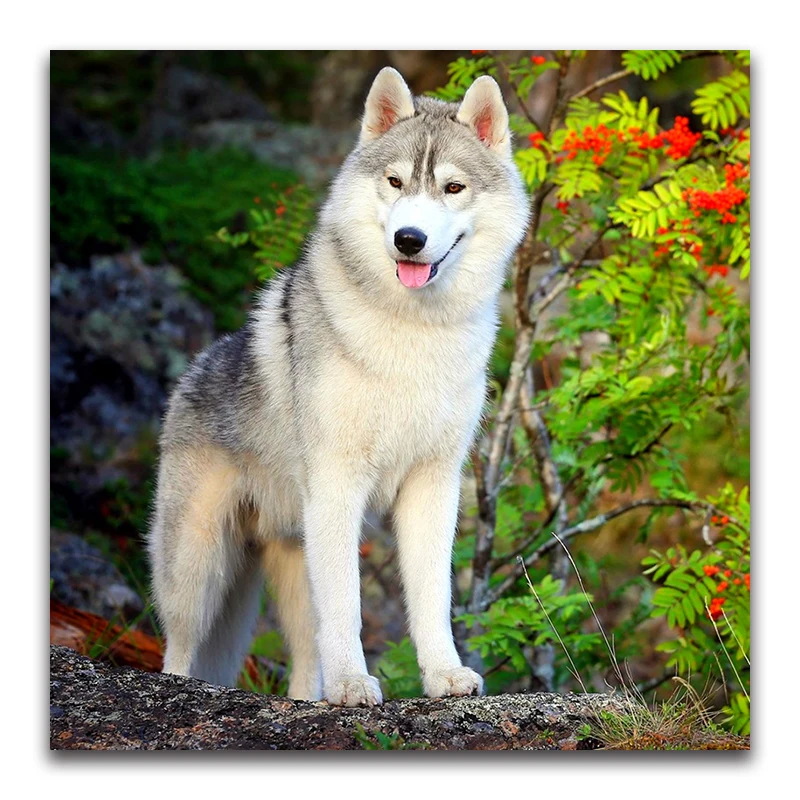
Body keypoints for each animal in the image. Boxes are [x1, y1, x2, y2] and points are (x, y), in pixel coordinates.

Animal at [147, 67, 530, 706]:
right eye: (396, 181)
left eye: (452, 188)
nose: (408, 239)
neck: (412, 337)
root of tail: (195, 368)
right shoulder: (337, 484)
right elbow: (349, 608)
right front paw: (354, 684)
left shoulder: (434, 486)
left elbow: (432, 599)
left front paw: (444, 675)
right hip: (199, 573)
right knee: (180, 653)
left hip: (291, 566)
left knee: (305, 664)